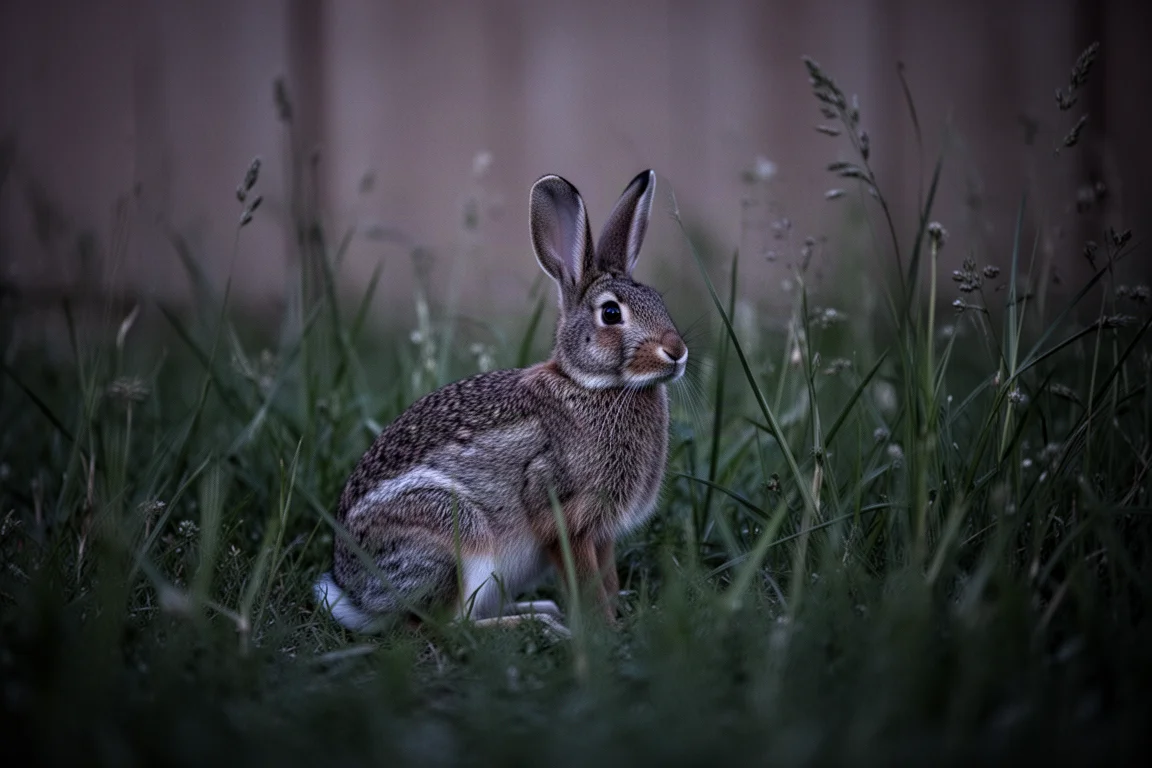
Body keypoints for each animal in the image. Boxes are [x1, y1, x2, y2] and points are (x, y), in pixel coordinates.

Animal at [313, 169, 687, 635]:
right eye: (612, 314)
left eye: (659, 300)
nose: (677, 351)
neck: (592, 385)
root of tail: (357, 594)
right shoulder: (563, 512)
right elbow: (586, 580)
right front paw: (603, 630)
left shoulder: (601, 532)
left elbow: (607, 578)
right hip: (456, 533)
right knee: (446, 626)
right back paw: (541, 624)